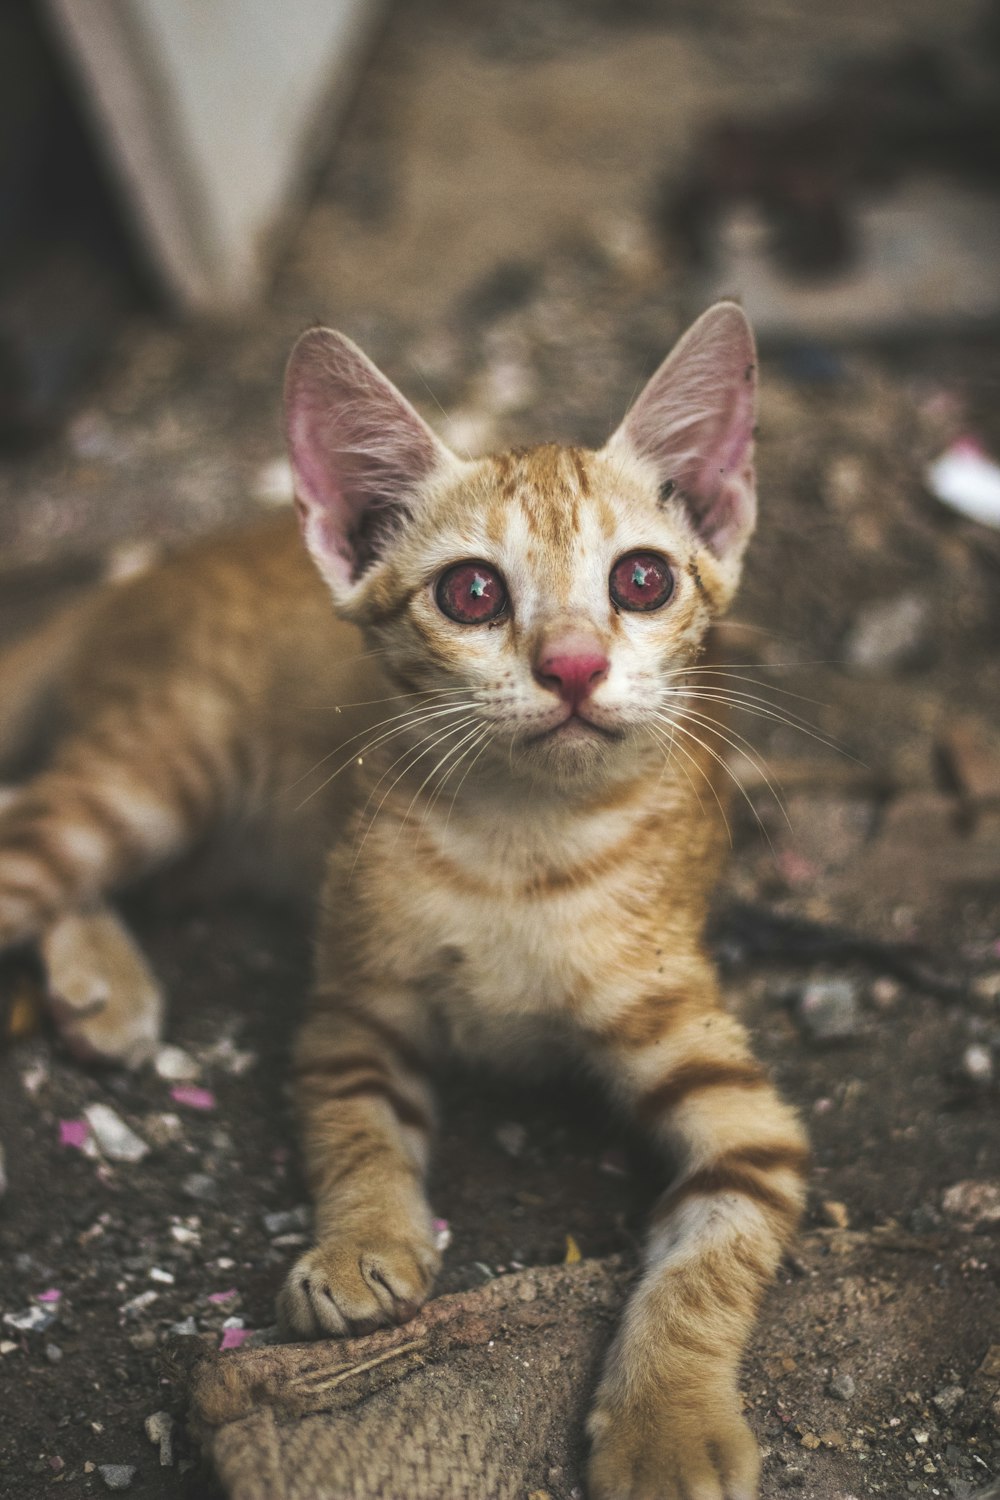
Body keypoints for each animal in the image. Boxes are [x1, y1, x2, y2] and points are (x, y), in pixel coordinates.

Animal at [0, 307, 803, 1500]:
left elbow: (714, 1254)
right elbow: (359, 1126)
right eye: (471, 593)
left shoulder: (740, 1111)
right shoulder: (353, 1006)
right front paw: (362, 1244)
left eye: (643, 581)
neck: (523, 845)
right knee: (36, 827)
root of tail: (144, 575)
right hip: (162, 770)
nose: (573, 666)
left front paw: (667, 1428)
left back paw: (103, 985)